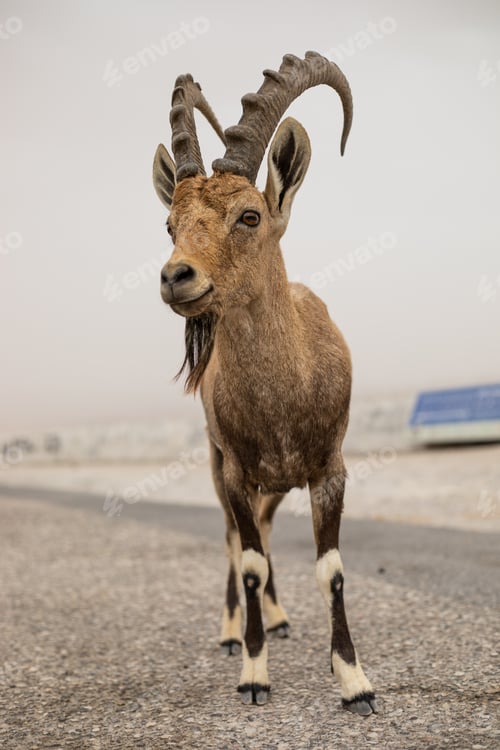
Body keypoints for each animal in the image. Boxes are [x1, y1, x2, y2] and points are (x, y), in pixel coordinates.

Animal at [153, 51, 377, 715]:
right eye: (170, 223)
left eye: (249, 215)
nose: (176, 277)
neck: (284, 393)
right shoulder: (233, 471)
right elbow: (248, 560)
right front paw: (254, 673)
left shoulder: (329, 469)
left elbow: (331, 568)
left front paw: (355, 681)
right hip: (222, 466)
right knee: (235, 539)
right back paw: (236, 630)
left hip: (278, 483)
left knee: (271, 527)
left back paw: (277, 617)